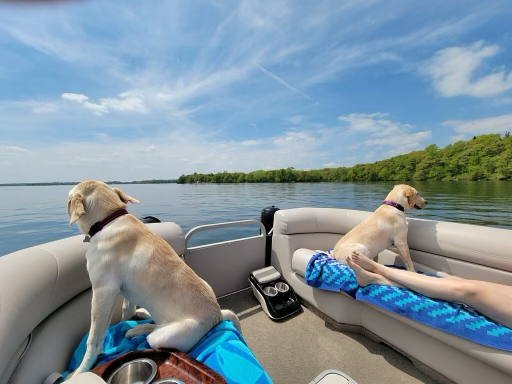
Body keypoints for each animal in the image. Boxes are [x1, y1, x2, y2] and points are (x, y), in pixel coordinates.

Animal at [66, 181, 240, 378]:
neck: (108, 219)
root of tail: (218, 314)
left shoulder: (103, 291)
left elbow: (93, 338)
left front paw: (80, 371)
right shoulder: (120, 291)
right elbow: (126, 309)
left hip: (165, 336)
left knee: (154, 332)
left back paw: (139, 329)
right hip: (205, 284)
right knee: (155, 323)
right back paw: (141, 320)